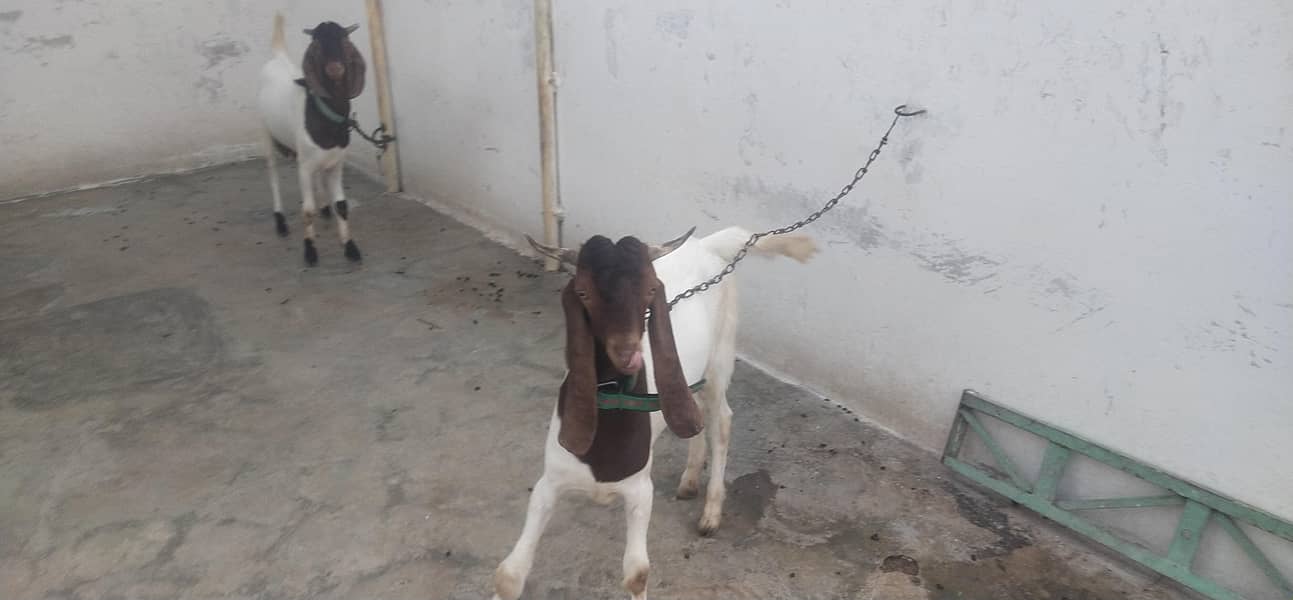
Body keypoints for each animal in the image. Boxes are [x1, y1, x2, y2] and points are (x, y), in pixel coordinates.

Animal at [258, 13, 367, 266]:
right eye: (315, 46)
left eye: (345, 41)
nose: (335, 68)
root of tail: (278, 57)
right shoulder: (304, 167)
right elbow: (307, 211)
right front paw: (309, 251)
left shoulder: (336, 162)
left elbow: (342, 205)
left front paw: (350, 247)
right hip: (266, 134)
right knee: (273, 176)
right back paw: (280, 221)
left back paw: (324, 207)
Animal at [492, 227, 818, 600]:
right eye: (583, 292)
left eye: (650, 289)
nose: (628, 353)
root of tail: (708, 244)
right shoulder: (550, 482)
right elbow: (509, 575)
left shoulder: (639, 491)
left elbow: (637, 573)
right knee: (695, 414)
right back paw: (689, 480)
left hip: (721, 354)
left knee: (720, 418)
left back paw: (711, 513)